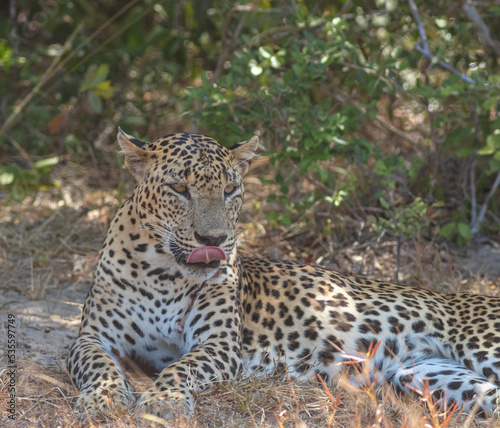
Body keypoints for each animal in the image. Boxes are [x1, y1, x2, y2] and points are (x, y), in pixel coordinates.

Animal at [67, 129, 500, 420]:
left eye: (230, 190)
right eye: (178, 188)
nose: (214, 239)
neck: (163, 272)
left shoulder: (219, 345)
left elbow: (180, 368)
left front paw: (163, 401)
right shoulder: (91, 337)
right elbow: (98, 364)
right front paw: (102, 399)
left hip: (482, 347)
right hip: (427, 374)